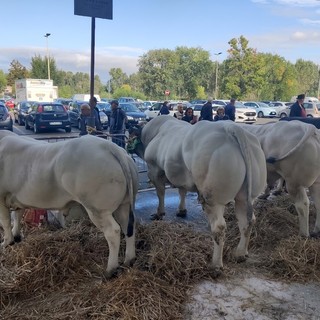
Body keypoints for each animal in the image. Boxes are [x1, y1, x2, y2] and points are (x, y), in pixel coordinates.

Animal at [0, 131, 138, 278]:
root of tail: (110, 146)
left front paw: (7, 242)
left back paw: (110, 270)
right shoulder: (15, 197)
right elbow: (17, 215)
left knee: (113, 231)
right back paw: (129, 260)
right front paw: (16, 235)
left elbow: (5, 221)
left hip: (98, 209)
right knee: (128, 225)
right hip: (125, 204)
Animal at [129, 116, 266, 274]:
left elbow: (160, 193)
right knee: (248, 221)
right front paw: (181, 210)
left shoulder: (154, 169)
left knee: (219, 227)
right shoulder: (182, 177)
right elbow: (182, 191)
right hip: (246, 196)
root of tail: (232, 128)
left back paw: (216, 265)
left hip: (213, 198)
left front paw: (159, 213)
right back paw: (240, 254)